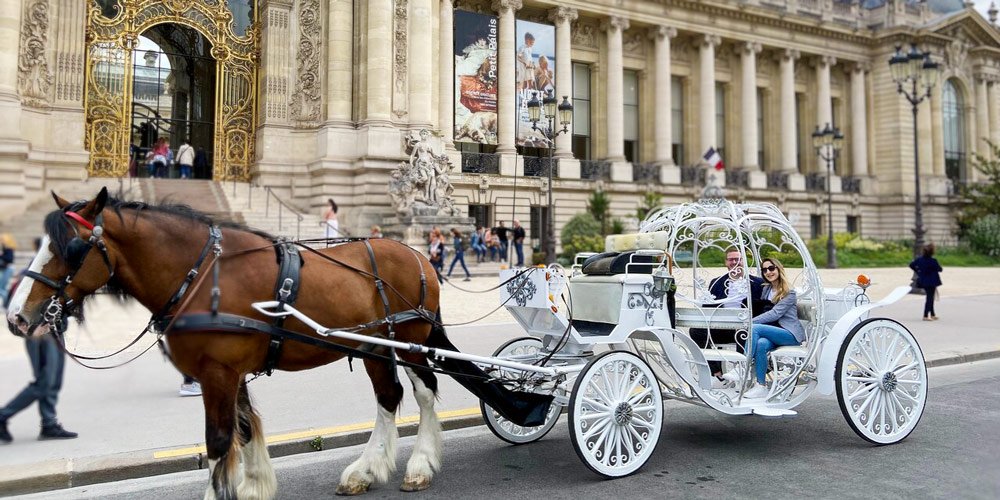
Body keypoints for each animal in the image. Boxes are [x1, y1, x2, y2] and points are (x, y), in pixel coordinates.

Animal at [6, 188, 446, 500]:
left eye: (72, 248)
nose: (16, 317)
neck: (202, 277)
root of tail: (416, 253)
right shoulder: (228, 372)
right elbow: (245, 428)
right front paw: (253, 484)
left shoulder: (218, 372)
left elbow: (218, 440)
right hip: (374, 346)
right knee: (388, 397)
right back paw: (366, 470)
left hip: (410, 343)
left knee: (424, 393)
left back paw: (420, 464)